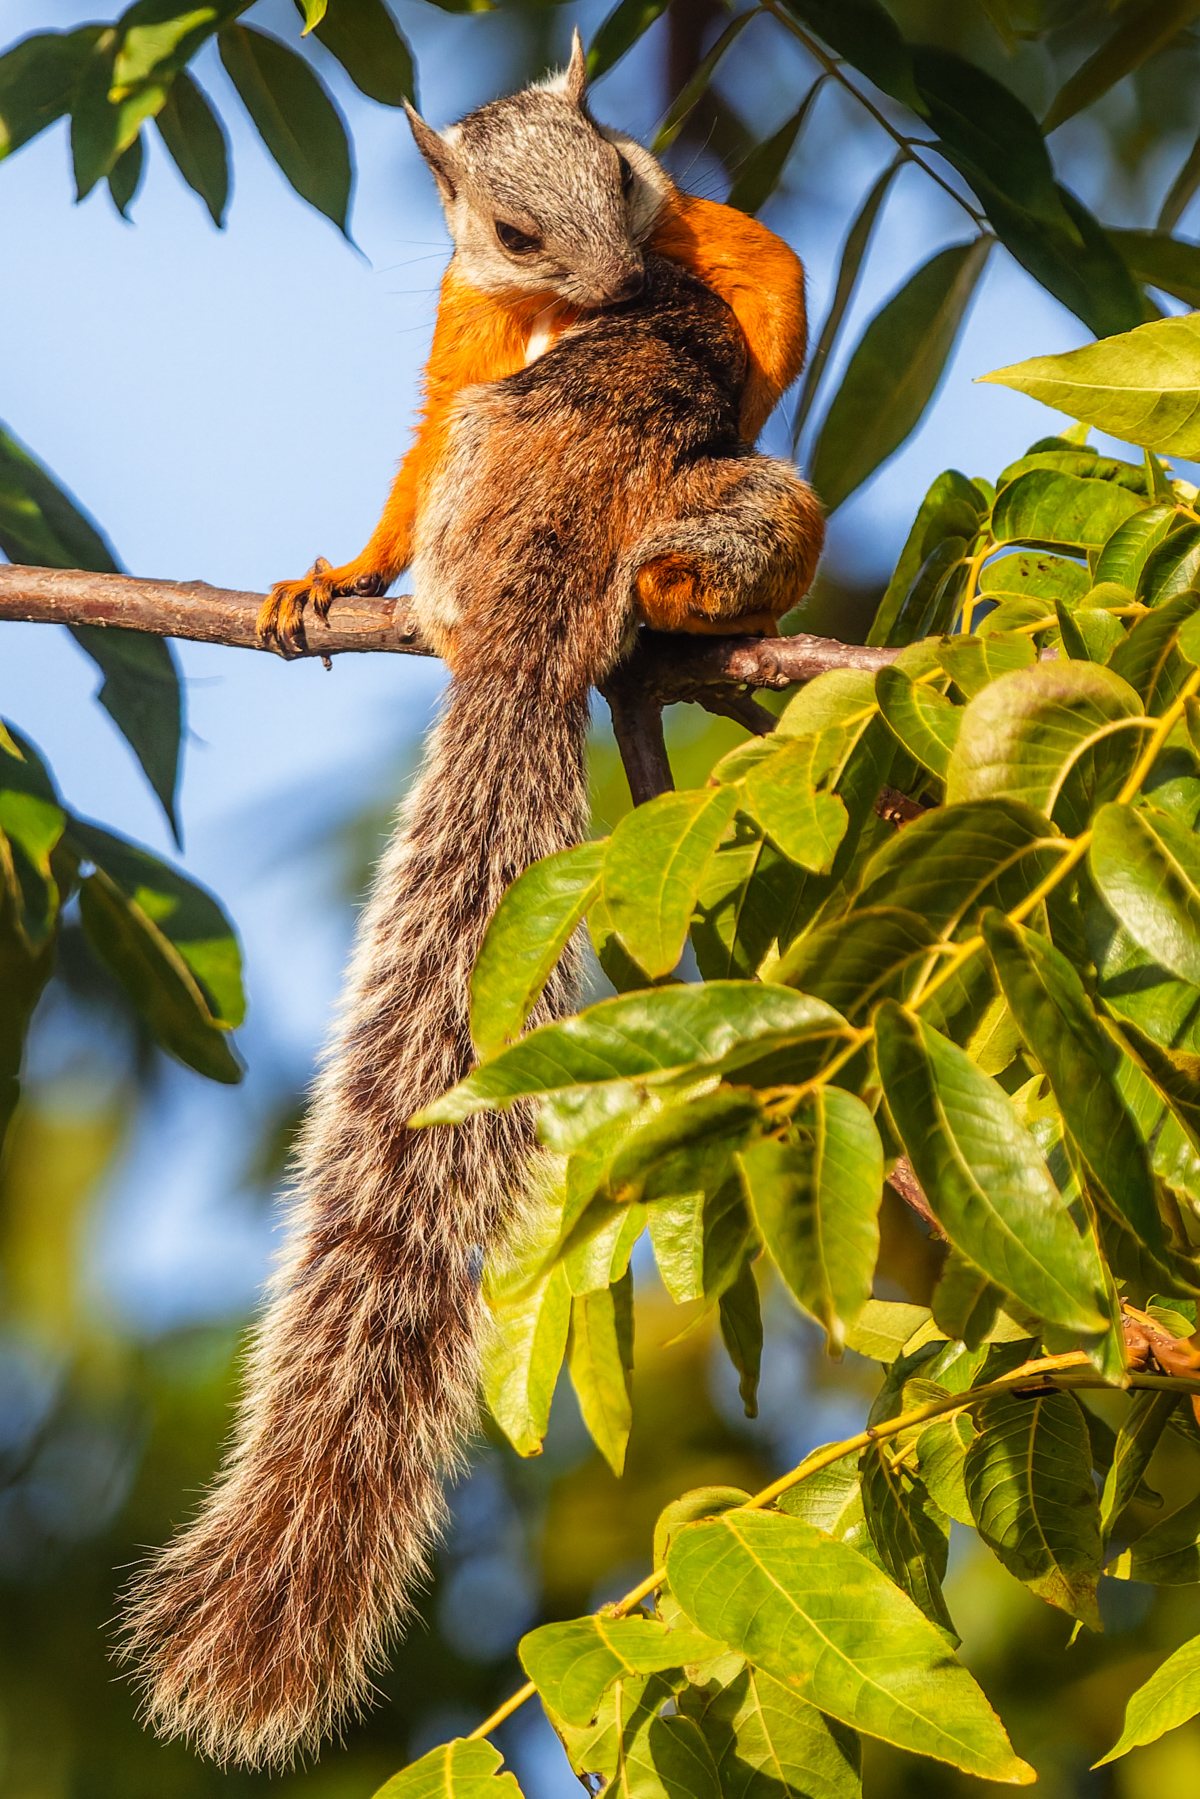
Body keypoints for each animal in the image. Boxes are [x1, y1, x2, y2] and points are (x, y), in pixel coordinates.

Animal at [122, 37, 824, 1772]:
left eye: (627, 173)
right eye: (508, 225)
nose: (614, 275)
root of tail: (539, 583)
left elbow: (757, 280)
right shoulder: (465, 315)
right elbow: (430, 407)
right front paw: (334, 568)